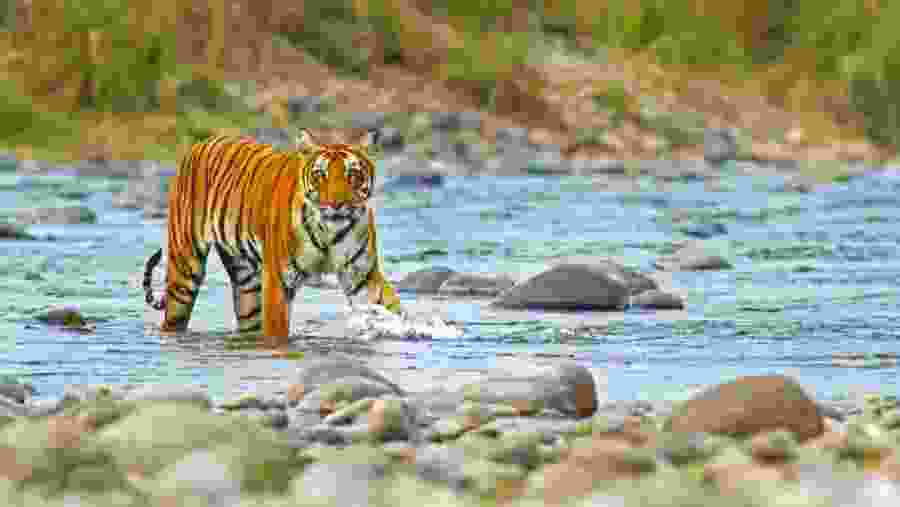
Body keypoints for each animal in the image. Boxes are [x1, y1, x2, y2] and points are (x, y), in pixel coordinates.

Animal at [142, 129, 403, 344]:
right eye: (320, 175)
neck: (329, 231)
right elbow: (277, 330)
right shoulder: (279, 279)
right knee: (174, 316)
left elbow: (389, 307)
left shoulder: (362, 275)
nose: (337, 204)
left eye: (353, 175)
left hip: (246, 281)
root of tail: (201, 143)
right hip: (185, 269)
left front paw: (404, 331)